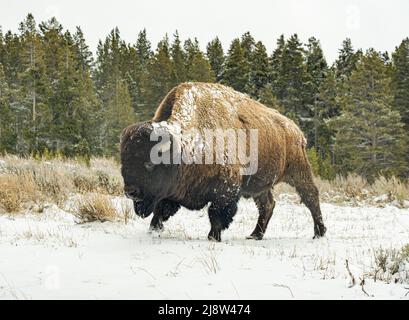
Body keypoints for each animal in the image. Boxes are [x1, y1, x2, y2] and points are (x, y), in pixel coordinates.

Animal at [119, 81, 326, 241]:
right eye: (124, 163)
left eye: (149, 164)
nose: (130, 192)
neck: (186, 144)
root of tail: (296, 130)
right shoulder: (171, 193)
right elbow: (160, 212)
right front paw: (152, 231)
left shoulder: (226, 189)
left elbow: (216, 214)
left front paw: (213, 237)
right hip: (259, 185)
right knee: (267, 205)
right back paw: (255, 235)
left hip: (298, 171)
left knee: (310, 196)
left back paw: (319, 233)